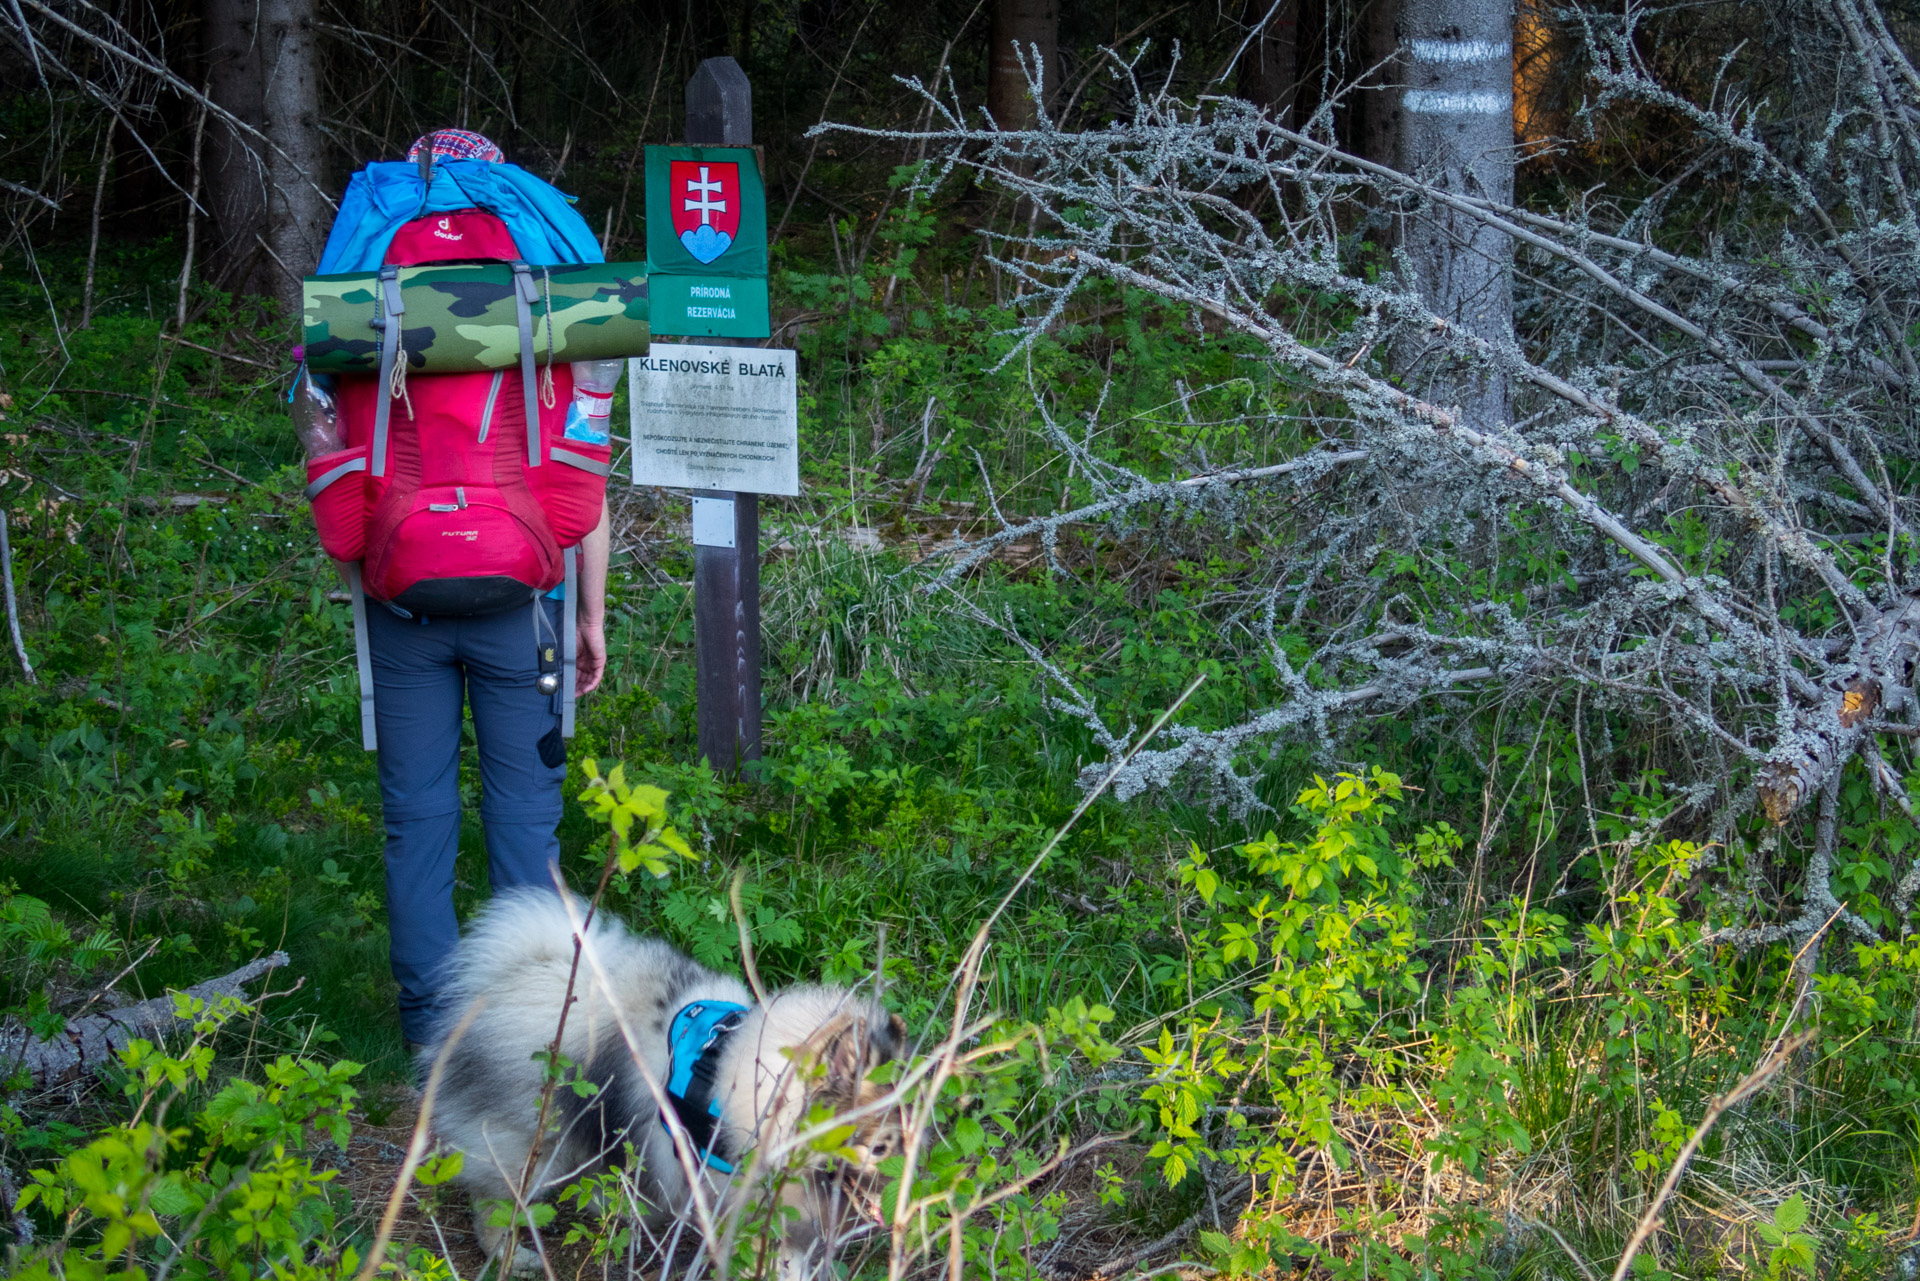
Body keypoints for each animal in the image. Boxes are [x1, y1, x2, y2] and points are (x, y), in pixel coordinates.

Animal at [420, 891, 906, 1281]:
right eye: (880, 1147)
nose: (905, 1194)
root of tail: (531, 972)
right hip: (533, 1144)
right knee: (492, 1202)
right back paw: (510, 1255)